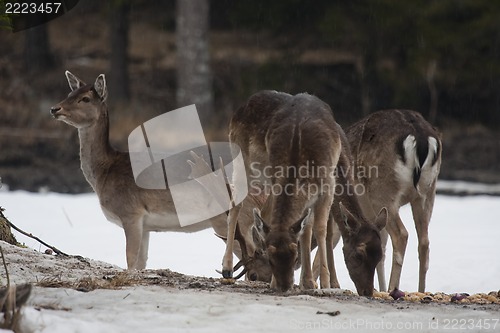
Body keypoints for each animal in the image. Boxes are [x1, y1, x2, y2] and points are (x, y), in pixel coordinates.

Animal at [344, 109, 442, 290]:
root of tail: (421, 138)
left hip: (383, 192)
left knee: (401, 234)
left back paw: (392, 289)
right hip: (427, 192)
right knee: (424, 241)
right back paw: (420, 290)